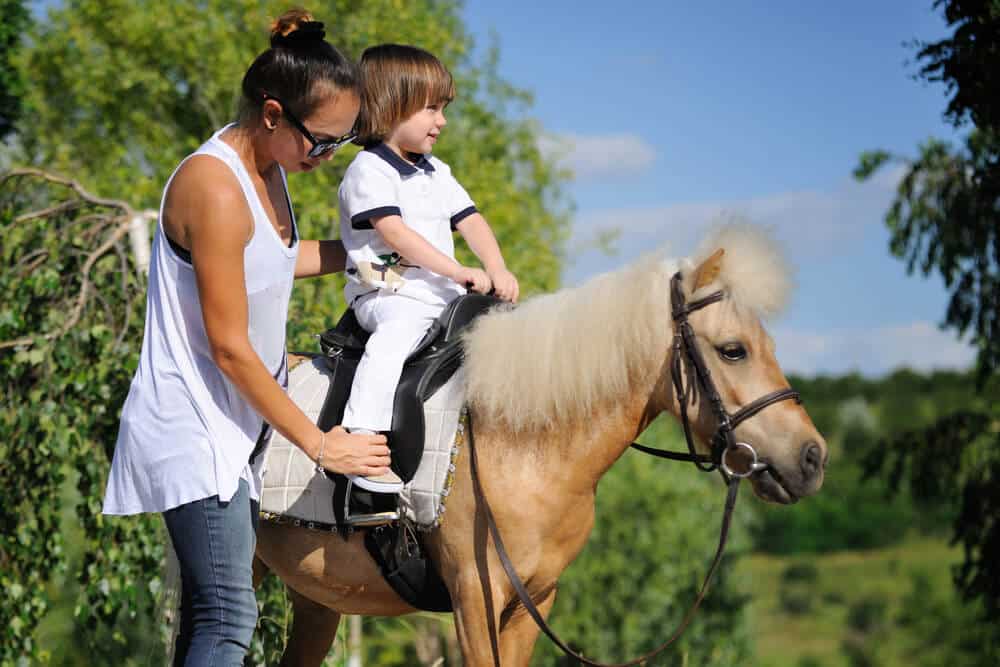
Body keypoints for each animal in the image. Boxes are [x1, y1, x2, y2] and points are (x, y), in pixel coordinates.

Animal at [254, 227, 832, 664]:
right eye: (733, 350)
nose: (812, 458)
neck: (523, 446)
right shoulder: (474, 600)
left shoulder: (533, 604)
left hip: (314, 598)